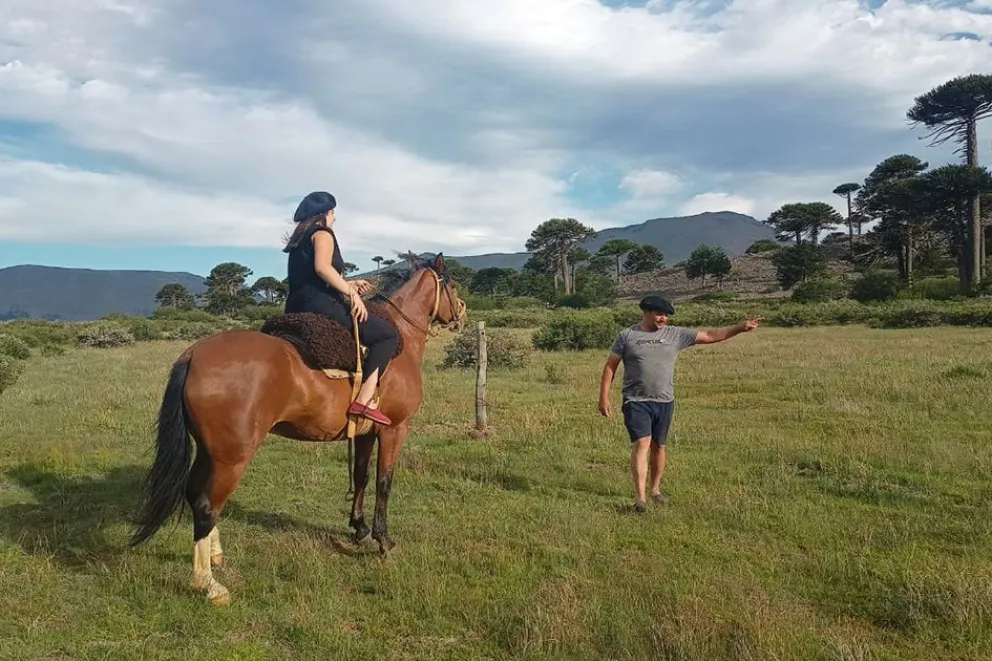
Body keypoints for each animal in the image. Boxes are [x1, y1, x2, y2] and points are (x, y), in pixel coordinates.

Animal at [128, 254, 467, 606]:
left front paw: (358, 529)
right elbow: (384, 483)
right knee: (208, 504)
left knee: (196, 495)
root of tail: (193, 355)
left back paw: (215, 556)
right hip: (231, 457)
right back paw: (208, 583)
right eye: (453, 286)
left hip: (211, 452)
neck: (401, 339)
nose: (461, 315)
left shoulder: (365, 433)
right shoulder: (394, 430)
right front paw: (383, 540)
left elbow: (361, 476)